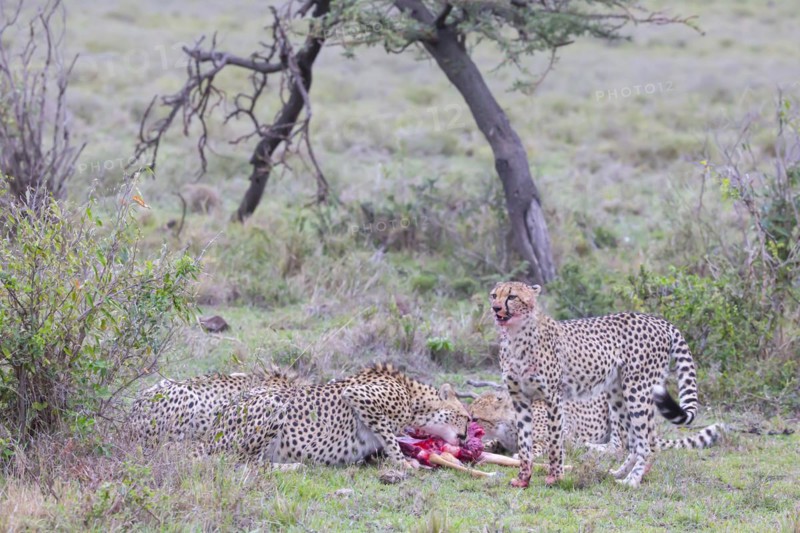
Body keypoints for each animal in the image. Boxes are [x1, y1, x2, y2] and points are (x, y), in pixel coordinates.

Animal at [201, 363, 471, 467]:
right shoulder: (359, 396)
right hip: (274, 404)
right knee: (246, 464)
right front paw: (404, 463)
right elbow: (390, 438)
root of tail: (210, 432)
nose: (466, 437)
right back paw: (294, 466)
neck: (413, 398)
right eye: (466, 418)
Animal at [490, 281, 703, 488]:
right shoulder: (520, 399)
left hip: (638, 391)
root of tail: (658, 320)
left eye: (512, 296)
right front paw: (523, 479)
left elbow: (554, 442)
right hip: (618, 395)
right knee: (634, 441)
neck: (516, 336)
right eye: (494, 295)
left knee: (647, 442)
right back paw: (619, 473)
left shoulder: (553, 398)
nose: (495, 307)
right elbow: (524, 443)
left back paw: (632, 481)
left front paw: (555, 478)